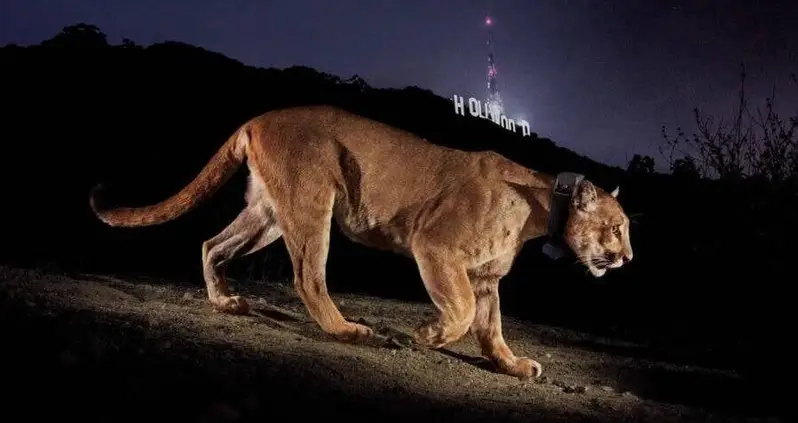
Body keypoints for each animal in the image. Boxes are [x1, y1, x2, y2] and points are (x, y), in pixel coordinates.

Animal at [89, 105, 633, 380]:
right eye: (618, 227)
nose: (628, 257)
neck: (541, 208)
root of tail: (259, 118)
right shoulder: (436, 248)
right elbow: (459, 314)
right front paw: (427, 334)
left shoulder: (485, 278)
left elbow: (491, 328)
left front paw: (513, 365)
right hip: (313, 202)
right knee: (308, 277)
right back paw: (349, 330)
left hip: (267, 213)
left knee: (211, 244)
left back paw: (225, 302)